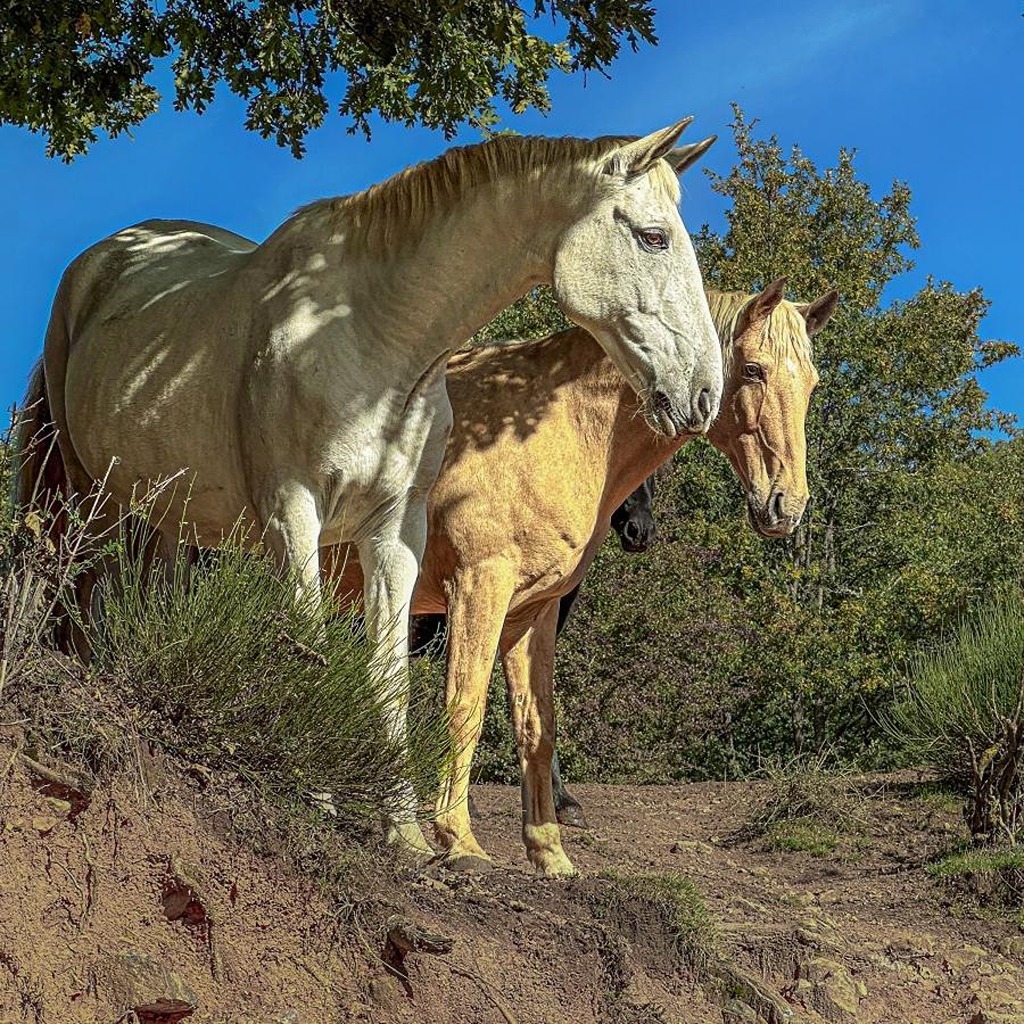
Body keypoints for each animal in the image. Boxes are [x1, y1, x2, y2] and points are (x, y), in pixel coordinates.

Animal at [14, 123, 725, 858]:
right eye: (652, 237)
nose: (704, 391)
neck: (368, 336)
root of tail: (101, 261)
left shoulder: (392, 534)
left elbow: (388, 678)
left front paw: (404, 831)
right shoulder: (292, 515)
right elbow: (312, 647)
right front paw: (316, 797)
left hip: (161, 513)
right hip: (86, 491)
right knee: (77, 585)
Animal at [324, 280, 838, 874]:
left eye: (811, 382)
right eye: (753, 370)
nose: (786, 506)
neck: (551, 428)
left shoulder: (532, 612)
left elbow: (536, 727)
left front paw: (549, 851)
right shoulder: (478, 589)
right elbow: (464, 708)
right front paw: (458, 839)